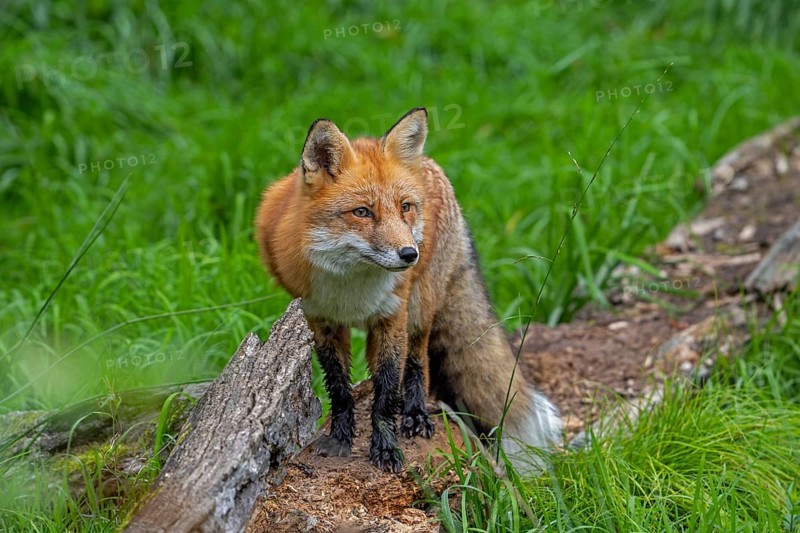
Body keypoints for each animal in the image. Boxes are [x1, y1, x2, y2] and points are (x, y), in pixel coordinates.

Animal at [254, 107, 560, 473]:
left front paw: (386, 448)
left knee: (418, 362)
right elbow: (339, 389)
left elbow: (387, 392)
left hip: (419, 306)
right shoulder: (321, 320)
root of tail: (428, 162)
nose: (409, 254)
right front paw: (341, 438)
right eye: (362, 212)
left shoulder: (392, 316)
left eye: (404, 207)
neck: (352, 287)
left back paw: (415, 414)